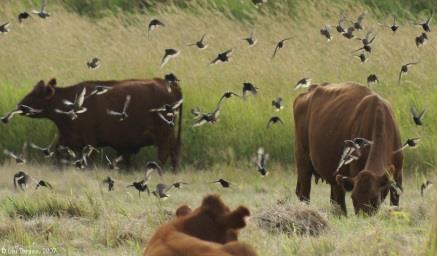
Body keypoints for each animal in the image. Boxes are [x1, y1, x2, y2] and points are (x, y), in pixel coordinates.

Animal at [8, 78, 182, 170]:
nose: (19, 105)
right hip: (170, 134)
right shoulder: (65, 138)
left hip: (162, 133)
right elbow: (58, 154)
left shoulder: (89, 139)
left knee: (164, 154)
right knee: (174, 152)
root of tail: (165, 82)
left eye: (36, 94)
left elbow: (89, 159)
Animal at [292, 83, 402, 215]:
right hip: (303, 162)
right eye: (354, 198)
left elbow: (395, 201)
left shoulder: (398, 173)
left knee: (335, 200)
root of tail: (310, 90)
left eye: (374, 199)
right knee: (305, 195)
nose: (363, 217)